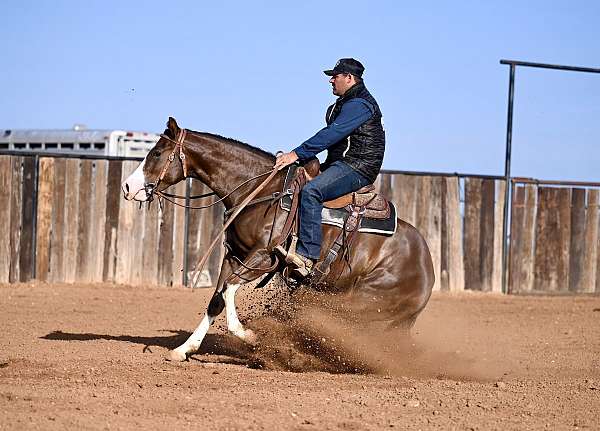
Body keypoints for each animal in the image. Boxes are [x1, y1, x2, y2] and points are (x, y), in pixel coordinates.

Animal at [123, 117, 432, 362]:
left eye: (157, 153)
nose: (128, 186)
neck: (259, 191)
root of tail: (426, 265)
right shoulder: (233, 255)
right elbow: (217, 299)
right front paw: (183, 349)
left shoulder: (263, 257)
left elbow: (229, 289)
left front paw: (250, 336)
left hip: (364, 299)